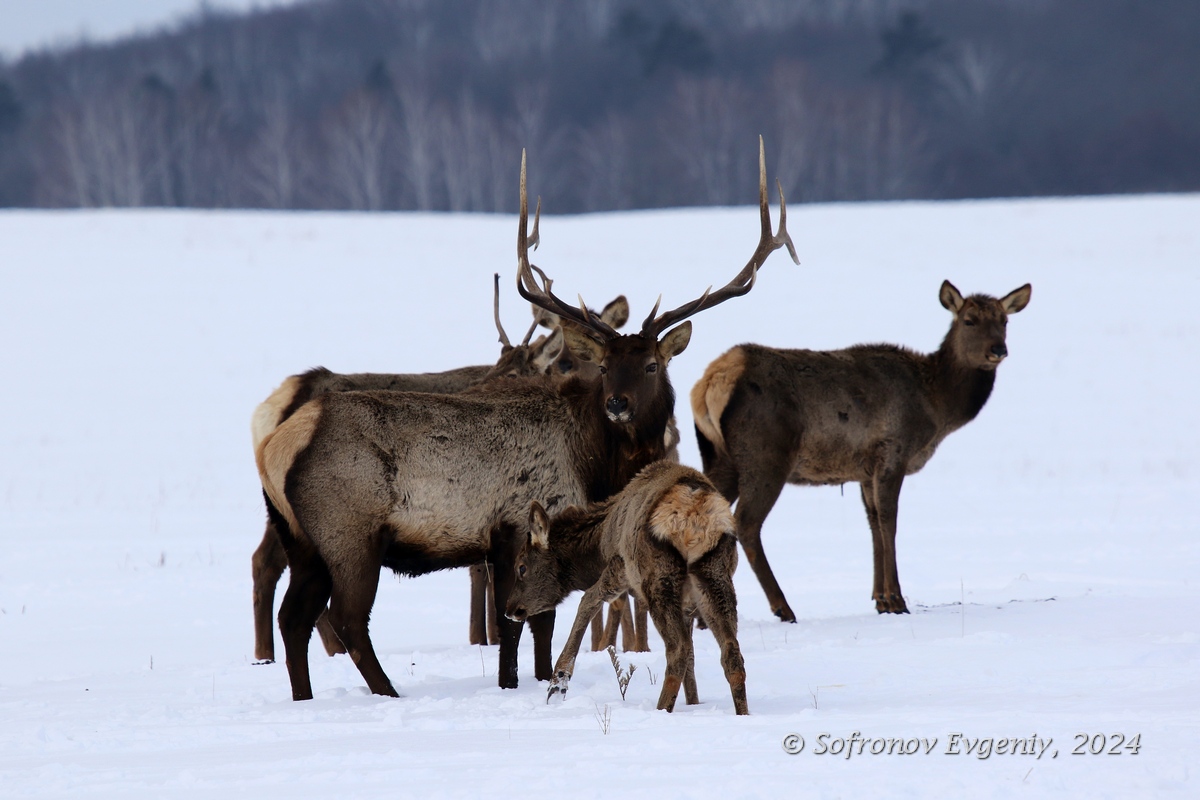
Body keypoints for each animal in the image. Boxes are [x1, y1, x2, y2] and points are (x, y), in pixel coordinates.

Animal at [501, 460, 744, 714]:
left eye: (521, 567)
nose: (511, 609)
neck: (598, 547)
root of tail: (694, 512)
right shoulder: (687, 605)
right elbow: (693, 660)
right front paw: (694, 702)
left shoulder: (619, 566)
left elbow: (588, 600)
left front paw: (558, 682)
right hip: (714, 573)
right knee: (729, 649)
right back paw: (741, 713)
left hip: (657, 577)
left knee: (678, 649)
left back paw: (661, 709)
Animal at [696, 278, 1032, 618]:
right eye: (969, 320)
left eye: (1004, 321)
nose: (998, 349)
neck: (936, 407)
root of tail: (712, 381)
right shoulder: (894, 451)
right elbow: (889, 521)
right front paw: (896, 599)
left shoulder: (865, 470)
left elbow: (872, 523)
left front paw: (880, 599)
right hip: (766, 456)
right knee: (747, 523)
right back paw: (782, 607)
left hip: (719, 458)